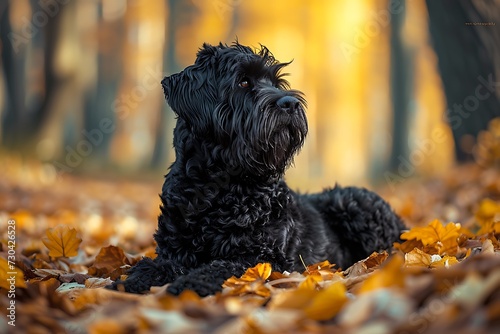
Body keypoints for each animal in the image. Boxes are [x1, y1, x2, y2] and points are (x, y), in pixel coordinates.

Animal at [110, 41, 406, 294]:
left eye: (276, 83)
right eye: (243, 81)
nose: (290, 103)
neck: (221, 188)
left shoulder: (262, 256)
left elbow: (220, 267)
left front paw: (191, 283)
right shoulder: (174, 250)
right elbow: (153, 265)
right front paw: (130, 282)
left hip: (354, 204)